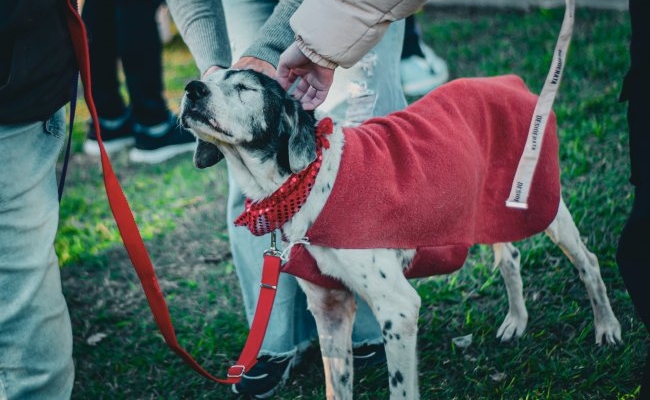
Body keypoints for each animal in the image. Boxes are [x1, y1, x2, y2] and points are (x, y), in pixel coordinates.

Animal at [179, 69, 621, 399]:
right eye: (210, 76)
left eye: (244, 88)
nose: (191, 88)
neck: (304, 182)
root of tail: (510, 80)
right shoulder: (329, 310)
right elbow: (336, 387)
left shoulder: (398, 308)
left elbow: (401, 388)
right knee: (509, 258)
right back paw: (516, 320)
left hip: (543, 204)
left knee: (588, 262)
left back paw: (607, 327)